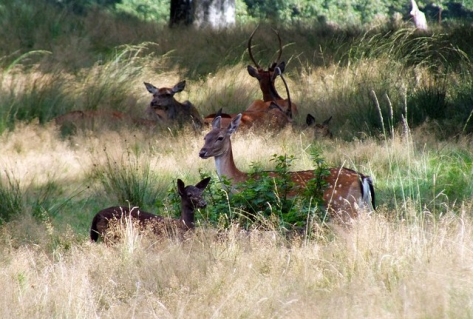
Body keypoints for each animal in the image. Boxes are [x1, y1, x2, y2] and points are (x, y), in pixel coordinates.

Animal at [198, 115, 376, 225]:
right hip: (364, 206)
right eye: (205, 137)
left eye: (220, 137)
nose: (202, 152)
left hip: (343, 205)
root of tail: (362, 177)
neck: (239, 181)